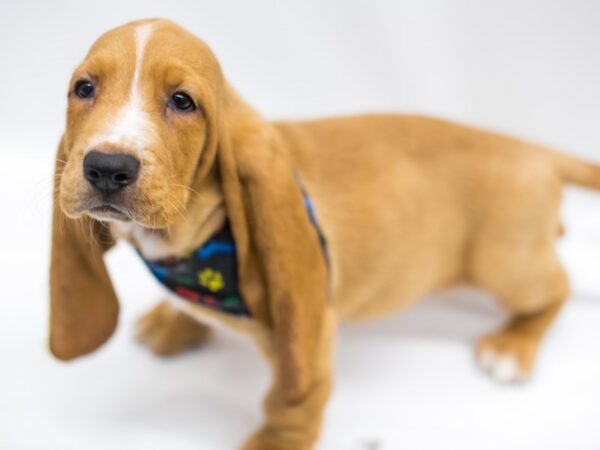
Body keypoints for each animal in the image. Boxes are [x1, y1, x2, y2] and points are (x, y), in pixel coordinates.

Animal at [50, 17, 600, 450]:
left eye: (183, 101)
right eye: (84, 89)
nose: (107, 167)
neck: (190, 242)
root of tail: (533, 149)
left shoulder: (311, 328)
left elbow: (293, 399)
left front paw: (274, 444)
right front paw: (177, 320)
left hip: (504, 263)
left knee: (557, 287)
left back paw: (513, 344)